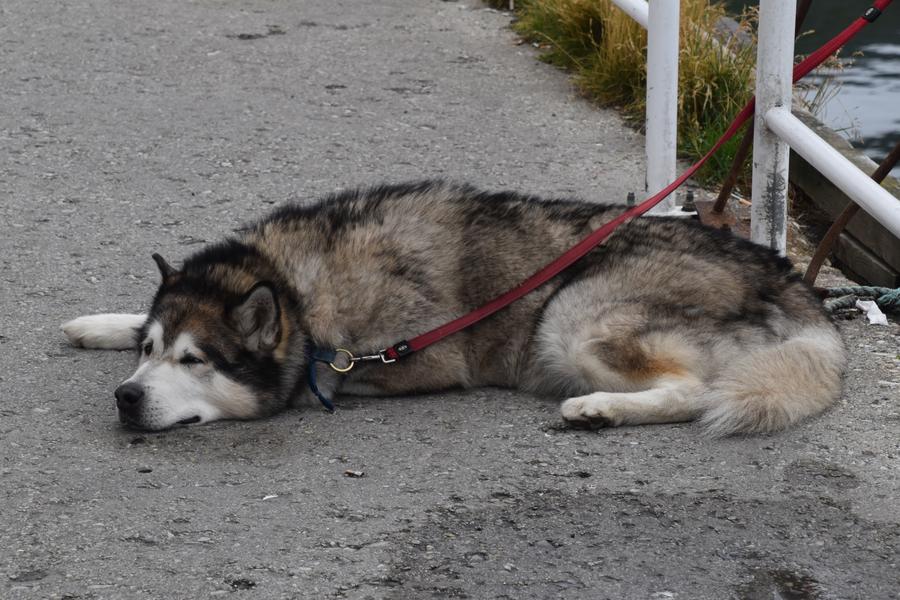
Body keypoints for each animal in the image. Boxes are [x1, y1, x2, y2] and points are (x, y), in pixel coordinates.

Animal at [59, 180, 848, 434]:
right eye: (151, 353)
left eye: (196, 361)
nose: (127, 398)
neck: (295, 289)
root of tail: (785, 273)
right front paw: (100, 324)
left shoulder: (408, 358)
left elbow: (325, 376)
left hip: (572, 317)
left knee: (693, 389)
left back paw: (598, 409)